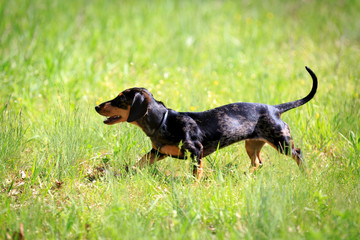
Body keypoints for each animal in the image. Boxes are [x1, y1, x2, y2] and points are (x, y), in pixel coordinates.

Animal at [96, 66, 318, 180]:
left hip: (281, 142)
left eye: (119, 99)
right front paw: (120, 173)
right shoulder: (157, 152)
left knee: (298, 153)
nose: (97, 106)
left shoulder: (196, 151)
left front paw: (193, 189)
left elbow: (197, 173)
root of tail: (275, 108)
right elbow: (138, 163)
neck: (164, 121)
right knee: (258, 163)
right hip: (252, 143)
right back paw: (246, 176)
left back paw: (306, 175)